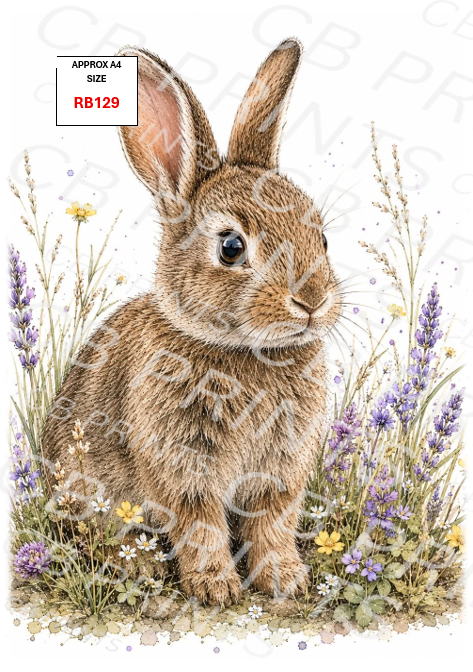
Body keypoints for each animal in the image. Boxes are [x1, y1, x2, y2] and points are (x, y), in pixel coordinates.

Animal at [42, 37, 342, 606]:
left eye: (321, 236)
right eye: (231, 247)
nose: (311, 301)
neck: (245, 350)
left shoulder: (279, 472)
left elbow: (271, 524)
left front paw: (285, 579)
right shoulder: (182, 466)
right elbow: (200, 525)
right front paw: (217, 588)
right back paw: (139, 568)